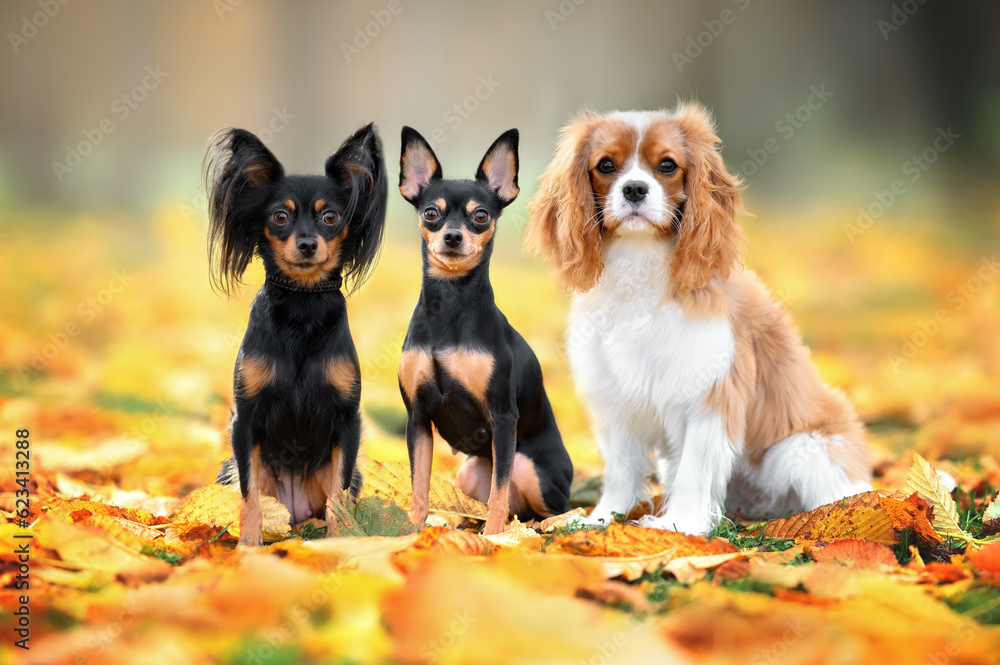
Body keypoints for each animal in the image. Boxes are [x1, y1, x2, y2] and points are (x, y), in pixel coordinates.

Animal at [207, 122, 386, 544]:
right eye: (280, 217)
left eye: (331, 217)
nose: (306, 244)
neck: (302, 303)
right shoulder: (245, 420)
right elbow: (248, 494)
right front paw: (248, 546)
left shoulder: (347, 421)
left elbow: (339, 496)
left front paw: (341, 543)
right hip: (229, 468)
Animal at [396, 127, 572, 536]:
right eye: (430, 213)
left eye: (481, 215)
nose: (453, 237)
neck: (449, 307)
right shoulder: (417, 419)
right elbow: (419, 485)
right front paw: (412, 532)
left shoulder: (503, 418)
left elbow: (499, 491)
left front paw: (494, 539)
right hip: (469, 471)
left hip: (530, 468)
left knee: (552, 509)